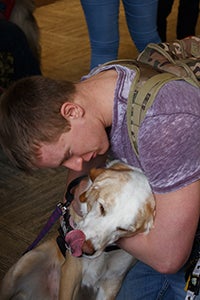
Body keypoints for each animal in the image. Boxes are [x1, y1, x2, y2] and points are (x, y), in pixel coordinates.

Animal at [0, 162, 155, 300]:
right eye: (102, 207)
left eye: (123, 229)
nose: (85, 249)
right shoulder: (71, 272)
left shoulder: (112, 282)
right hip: (26, 262)